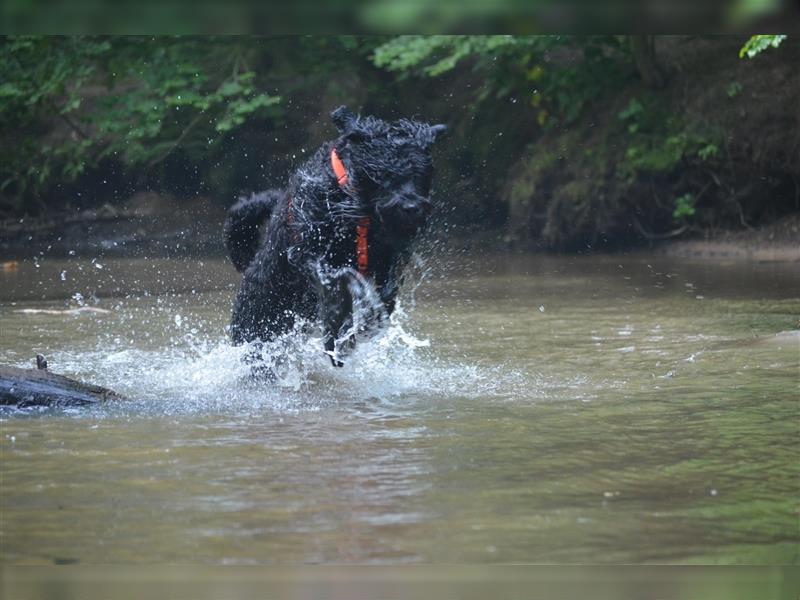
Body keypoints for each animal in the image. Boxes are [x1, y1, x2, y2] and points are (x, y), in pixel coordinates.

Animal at [223, 106, 444, 366]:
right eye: (383, 173)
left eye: (421, 174)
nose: (412, 207)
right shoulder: (312, 254)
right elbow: (339, 289)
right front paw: (341, 335)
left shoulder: (389, 256)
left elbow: (386, 293)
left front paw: (367, 323)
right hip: (257, 327)